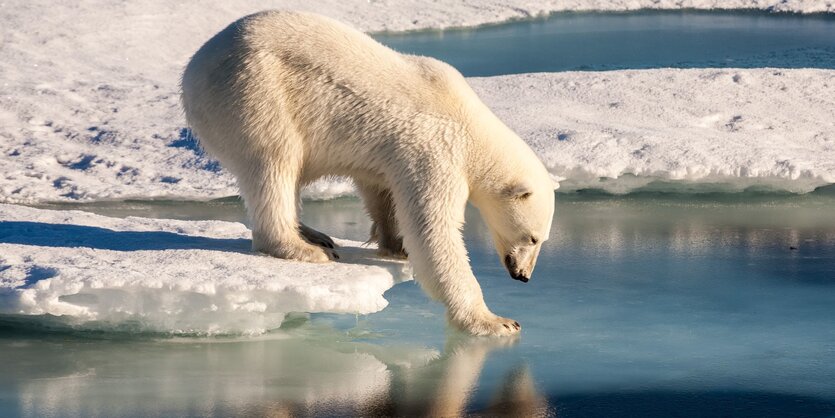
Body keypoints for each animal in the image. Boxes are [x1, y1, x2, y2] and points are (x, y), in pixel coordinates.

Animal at [183, 10, 556, 336]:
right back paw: (303, 248)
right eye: (533, 238)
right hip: (255, 92)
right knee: (274, 162)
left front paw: (395, 245)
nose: (523, 275)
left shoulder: (392, 154)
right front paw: (496, 321)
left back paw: (315, 234)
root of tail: (193, 68)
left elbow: (381, 190)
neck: (471, 126)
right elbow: (434, 230)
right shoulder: (436, 150)